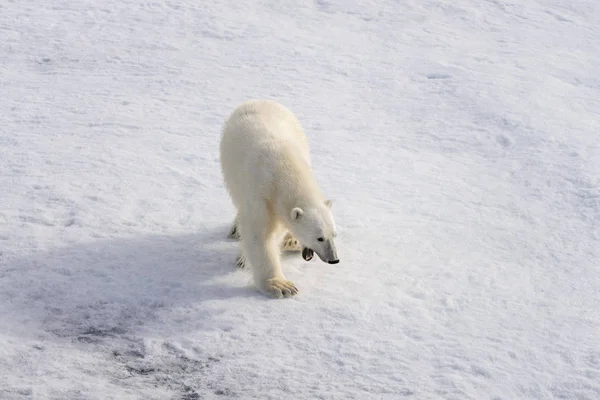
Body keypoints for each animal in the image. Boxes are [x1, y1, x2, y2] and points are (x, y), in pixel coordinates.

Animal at [220, 99, 340, 298]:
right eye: (319, 238)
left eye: (334, 234)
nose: (334, 260)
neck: (284, 168)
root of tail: (258, 100)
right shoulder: (259, 195)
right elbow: (260, 236)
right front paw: (280, 286)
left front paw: (291, 241)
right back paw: (236, 230)